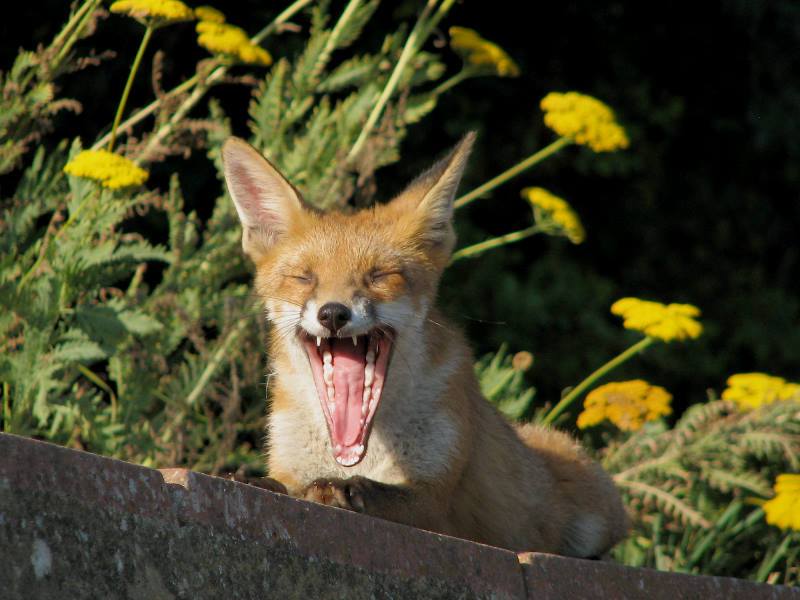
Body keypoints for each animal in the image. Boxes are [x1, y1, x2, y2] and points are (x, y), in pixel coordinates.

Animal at [220, 133, 629, 557]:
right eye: (303, 277)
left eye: (379, 276)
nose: (333, 314)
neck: (361, 453)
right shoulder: (290, 465)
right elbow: (281, 483)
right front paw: (254, 481)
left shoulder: (437, 501)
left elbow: (379, 493)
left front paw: (344, 490)